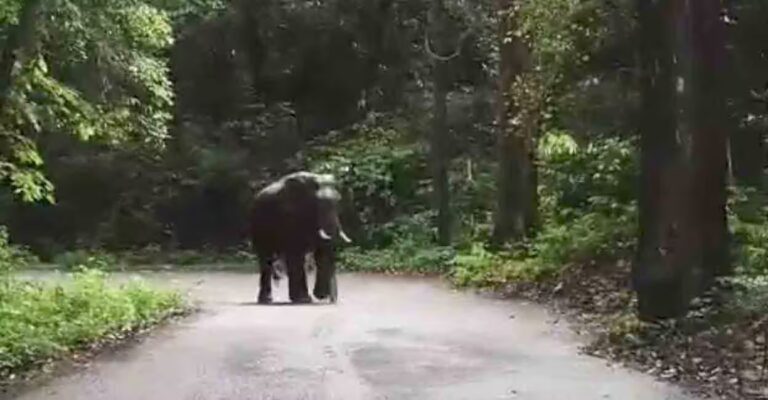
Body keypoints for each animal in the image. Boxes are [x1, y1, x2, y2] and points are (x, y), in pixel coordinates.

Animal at [249, 171, 351, 304]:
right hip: (257, 227)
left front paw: (315, 297)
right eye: (319, 203)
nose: (332, 300)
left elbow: (320, 253)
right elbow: (296, 255)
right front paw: (303, 299)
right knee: (266, 260)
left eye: (339, 201)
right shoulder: (290, 216)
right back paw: (266, 300)